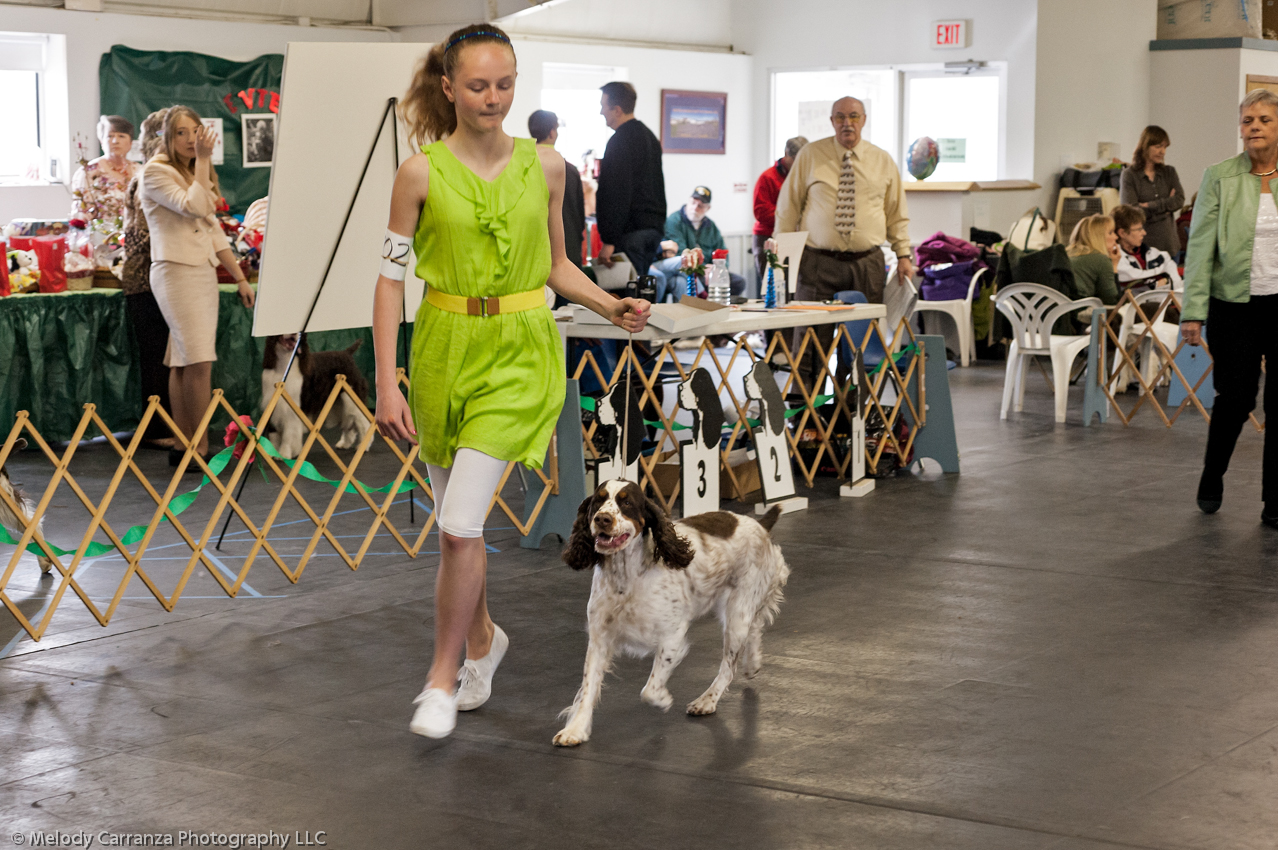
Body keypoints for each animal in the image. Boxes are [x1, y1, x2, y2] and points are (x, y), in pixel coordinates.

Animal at [559, 480, 787, 746]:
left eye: (627, 503)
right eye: (598, 500)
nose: (602, 519)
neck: (626, 577)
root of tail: (758, 524)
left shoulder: (672, 635)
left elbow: (649, 690)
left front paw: (664, 700)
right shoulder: (600, 637)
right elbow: (588, 688)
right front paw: (575, 730)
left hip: (737, 613)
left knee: (729, 666)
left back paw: (706, 701)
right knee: (755, 628)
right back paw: (752, 664)